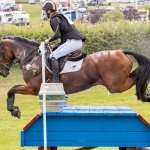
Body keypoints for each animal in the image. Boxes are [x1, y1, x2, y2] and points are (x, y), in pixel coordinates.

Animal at [0, 36, 150, 118]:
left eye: (0, 52)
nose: (3, 72)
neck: (32, 58)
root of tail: (122, 52)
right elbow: (12, 90)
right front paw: (14, 109)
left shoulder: (33, 88)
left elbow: (11, 90)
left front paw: (14, 110)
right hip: (119, 82)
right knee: (137, 75)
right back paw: (145, 94)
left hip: (116, 85)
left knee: (137, 77)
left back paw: (144, 95)